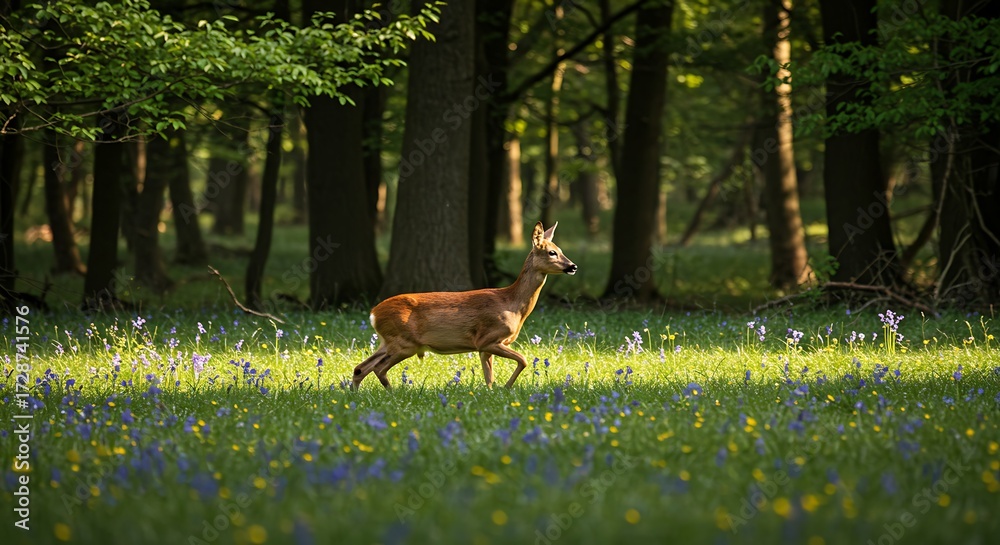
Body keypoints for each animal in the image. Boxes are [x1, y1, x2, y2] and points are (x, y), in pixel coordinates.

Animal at [352, 222, 577, 390]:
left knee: (361, 368)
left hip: (387, 342)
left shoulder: (485, 348)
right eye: (552, 252)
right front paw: (506, 388)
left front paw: (493, 392)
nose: (573, 266)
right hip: (404, 343)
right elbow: (523, 360)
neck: (512, 304)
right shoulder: (487, 339)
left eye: (561, 250)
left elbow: (489, 377)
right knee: (378, 369)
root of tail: (373, 313)